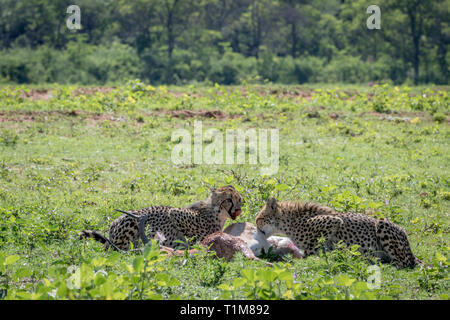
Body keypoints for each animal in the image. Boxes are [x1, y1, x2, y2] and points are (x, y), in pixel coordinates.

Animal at [80, 186, 243, 251]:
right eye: (229, 199)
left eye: (239, 199)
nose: (238, 209)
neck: (217, 213)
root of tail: (113, 226)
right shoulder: (174, 212)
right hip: (131, 222)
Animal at [256, 196, 422, 268]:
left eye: (260, 218)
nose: (256, 225)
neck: (289, 222)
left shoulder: (333, 221)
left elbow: (312, 247)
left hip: (382, 223)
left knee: (403, 264)